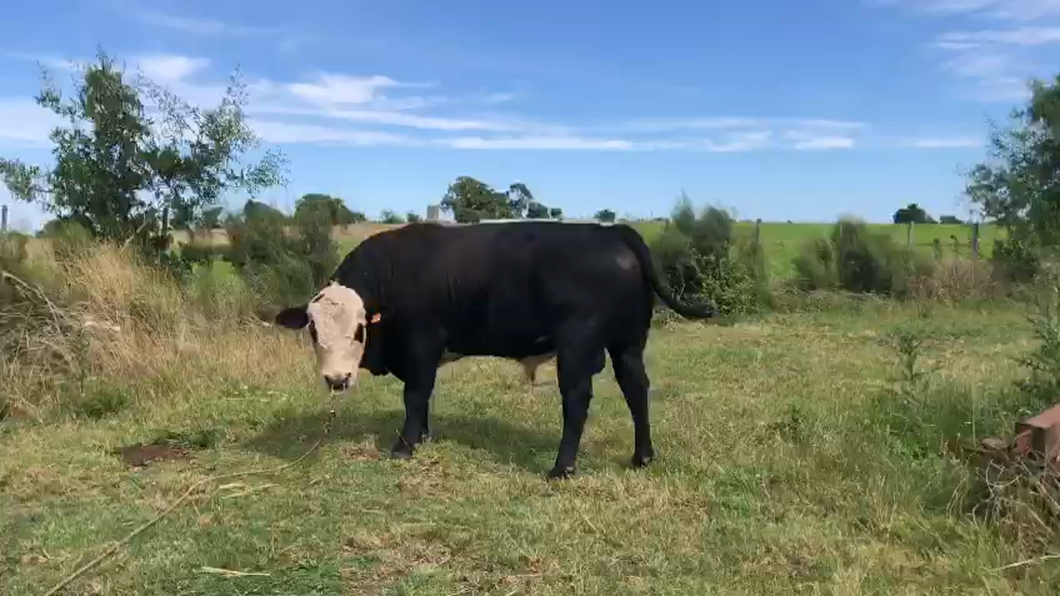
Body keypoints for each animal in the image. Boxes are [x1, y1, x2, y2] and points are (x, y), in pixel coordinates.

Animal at [277, 220, 716, 475]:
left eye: (359, 330)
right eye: (313, 330)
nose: (337, 379)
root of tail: (612, 230)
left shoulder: (421, 344)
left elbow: (414, 396)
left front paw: (404, 447)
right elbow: (426, 397)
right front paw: (423, 437)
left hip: (577, 345)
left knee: (576, 400)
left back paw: (561, 468)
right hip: (627, 342)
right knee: (636, 389)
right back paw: (642, 457)